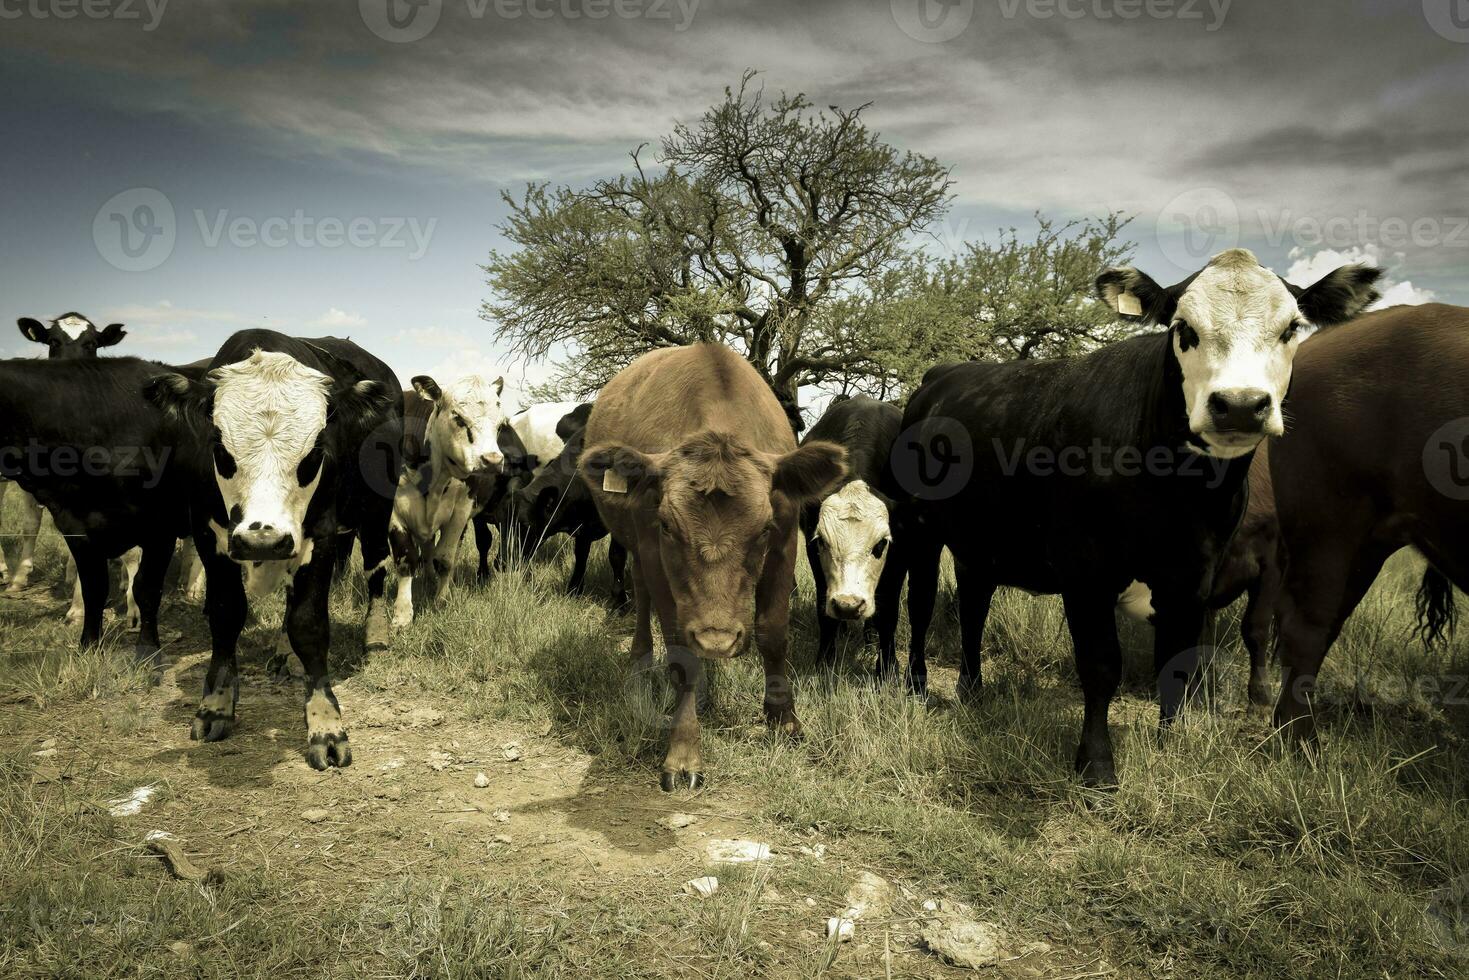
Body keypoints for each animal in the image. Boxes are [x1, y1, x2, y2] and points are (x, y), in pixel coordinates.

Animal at [146, 332, 405, 775]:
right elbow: (226, 614)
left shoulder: (320, 535)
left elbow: (309, 624)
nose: (263, 541)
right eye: (220, 448)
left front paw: (325, 725)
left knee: (375, 570)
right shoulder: (209, 535)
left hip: (375, 511)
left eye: (315, 451)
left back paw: (375, 635)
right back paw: (286, 654)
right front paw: (215, 706)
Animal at [387, 371, 508, 625]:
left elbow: (445, 558)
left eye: (501, 425)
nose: (492, 460)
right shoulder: (394, 512)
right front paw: (402, 613)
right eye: (459, 418)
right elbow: (406, 559)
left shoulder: (461, 510)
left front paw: (442, 600)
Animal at [578, 345, 846, 787]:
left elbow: (774, 633)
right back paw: (641, 666)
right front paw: (683, 751)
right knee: (642, 597)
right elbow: (681, 654)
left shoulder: (785, 543)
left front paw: (783, 719)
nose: (716, 640)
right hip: (636, 549)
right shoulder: (654, 551)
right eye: (667, 525)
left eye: (763, 528)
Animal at [799, 393, 899, 669]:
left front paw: (887, 667)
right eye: (822, 541)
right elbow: (824, 610)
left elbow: (888, 611)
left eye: (880, 544)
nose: (848, 605)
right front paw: (825, 660)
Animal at [887, 249, 1380, 787]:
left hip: (980, 541)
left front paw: (1171, 747)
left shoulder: (1193, 578)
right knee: (921, 602)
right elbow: (1101, 665)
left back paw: (972, 690)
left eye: (1292, 327)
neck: (1179, 493)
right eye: (1183, 328)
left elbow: (1177, 665)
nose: (1239, 405)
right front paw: (1097, 764)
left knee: (974, 606)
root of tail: (940, 377)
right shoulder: (1086, 571)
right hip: (919, 529)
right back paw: (916, 684)